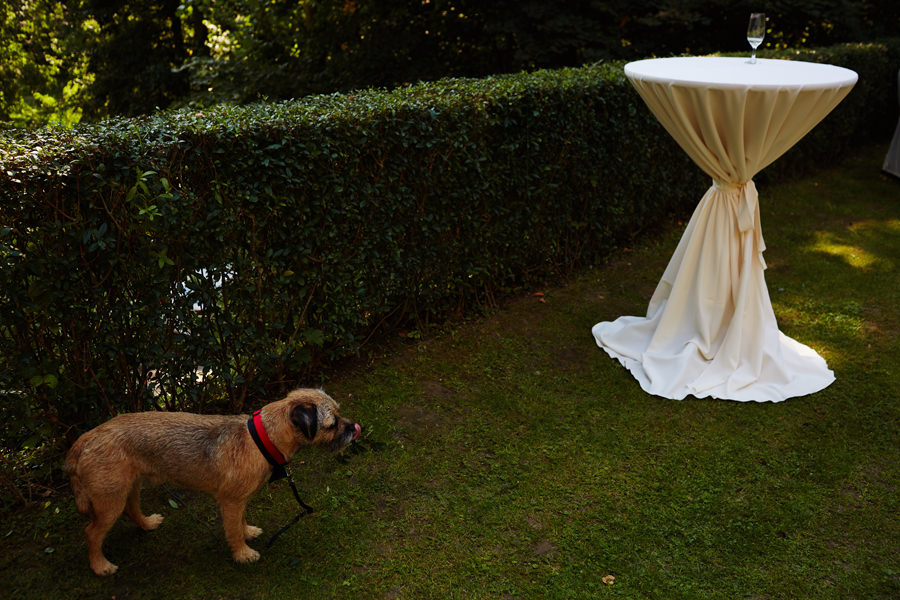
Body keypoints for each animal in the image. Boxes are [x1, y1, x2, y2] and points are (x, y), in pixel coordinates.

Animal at [65, 388, 360, 575]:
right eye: (332, 423)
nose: (354, 428)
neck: (262, 437)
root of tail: (82, 442)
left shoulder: (239, 500)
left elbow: (240, 521)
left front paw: (247, 532)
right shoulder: (230, 501)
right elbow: (232, 530)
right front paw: (242, 553)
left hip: (129, 486)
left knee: (131, 508)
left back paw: (147, 524)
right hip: (109, 500)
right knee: (92, 532)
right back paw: (100, 566)